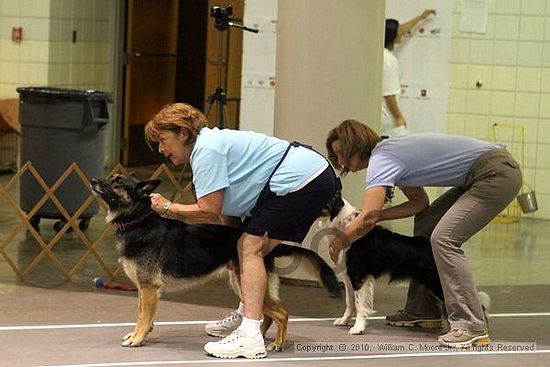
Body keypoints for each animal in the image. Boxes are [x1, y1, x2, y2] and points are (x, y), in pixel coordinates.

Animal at [90, 174, 340, 352]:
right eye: (111, 177)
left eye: (118, 182)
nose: (93, 181)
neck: (139, 221)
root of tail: (266, 246)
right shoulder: (144, 290)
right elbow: (143, 315)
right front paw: (138, 335)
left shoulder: (148, 288)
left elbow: (143, 317)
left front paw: (138, 338)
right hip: (243, 284)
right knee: (268, 314)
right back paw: (260, 337)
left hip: (244, 281)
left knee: (282, 314)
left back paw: (277, 343)